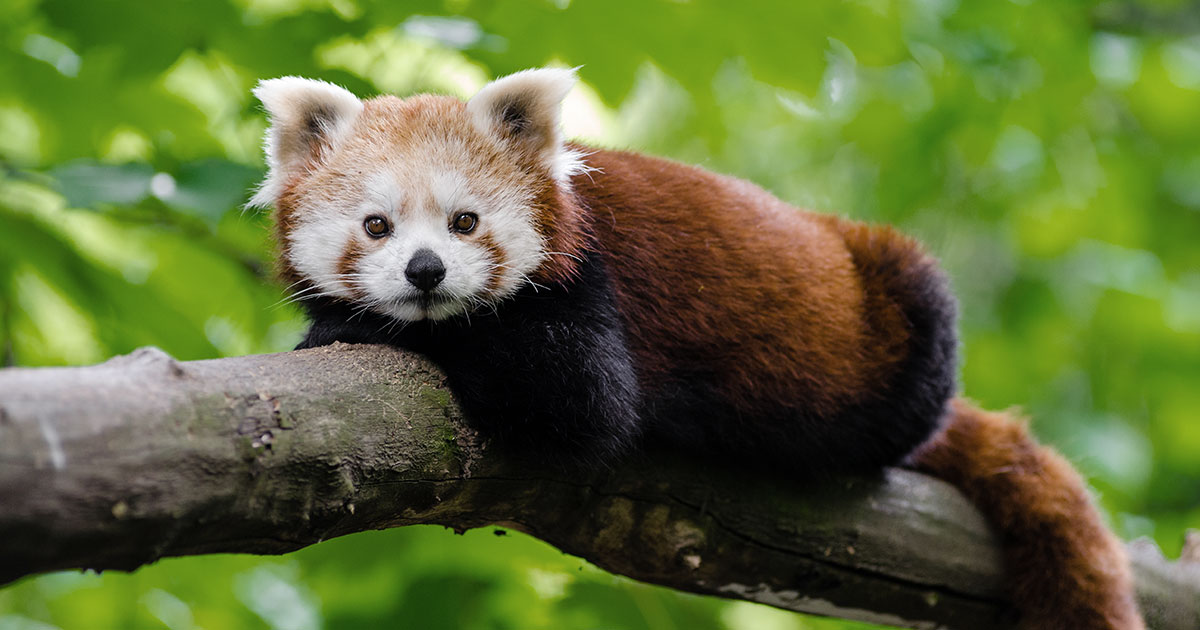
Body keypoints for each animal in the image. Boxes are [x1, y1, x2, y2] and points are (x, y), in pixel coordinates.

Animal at [250, 68, 1142, 628]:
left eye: (465, 221)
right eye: (377, 225)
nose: (426, 271)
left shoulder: (590, 291)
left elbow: (580, 399)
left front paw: (351, 326)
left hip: (902, 309)